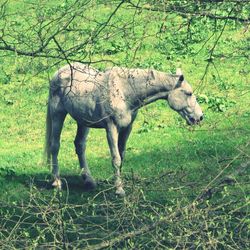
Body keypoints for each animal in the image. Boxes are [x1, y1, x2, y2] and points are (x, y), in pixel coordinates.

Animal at [44, 63, 202, 195]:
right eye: (188, 93)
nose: (200, 117)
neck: (125, 91)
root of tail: (59, 72)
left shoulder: (127, 128)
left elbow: (122, 156)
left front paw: (120, 185)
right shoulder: (111, 128)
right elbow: (116, 158)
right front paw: (119, 191)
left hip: (83, 121)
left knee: (80, 145)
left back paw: (89, 181)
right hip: (58, 114)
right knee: (55, 146)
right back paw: (56, 182)